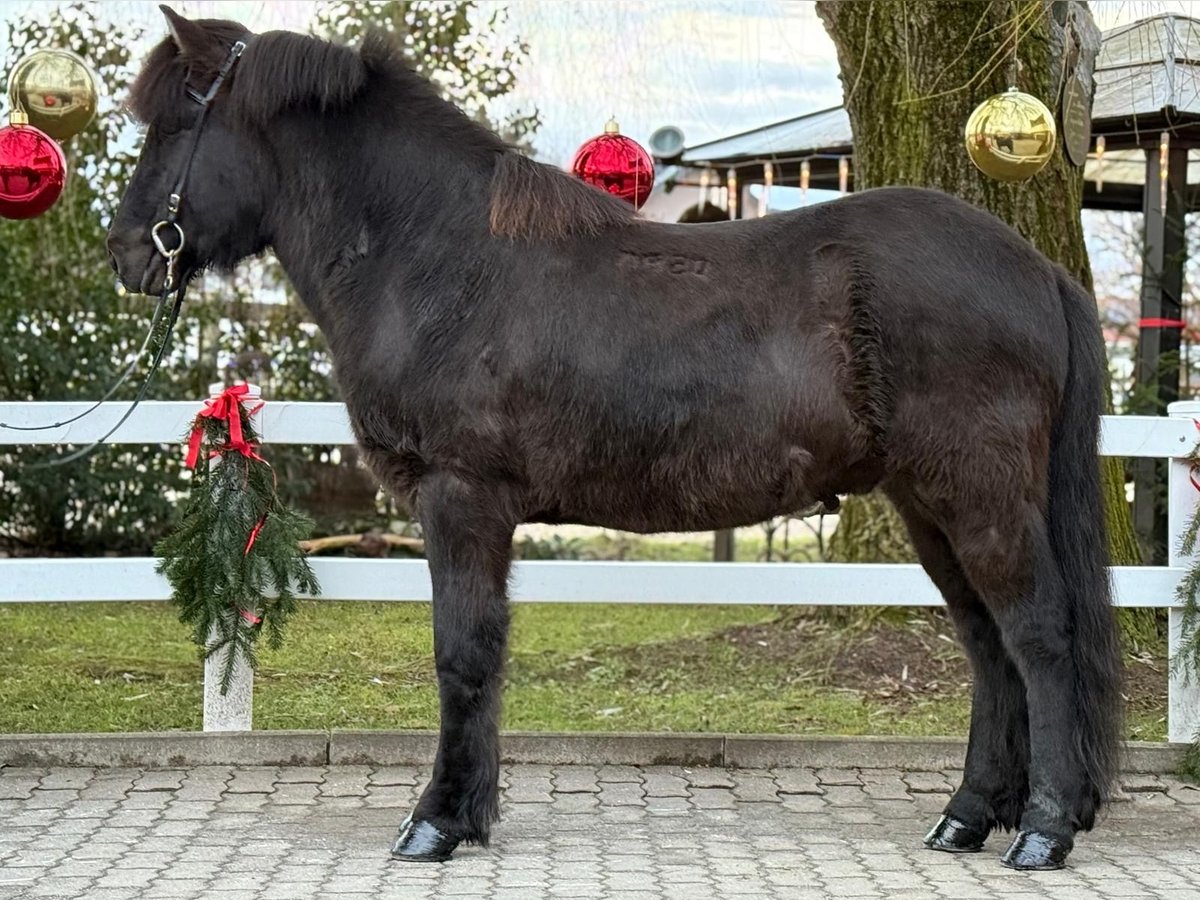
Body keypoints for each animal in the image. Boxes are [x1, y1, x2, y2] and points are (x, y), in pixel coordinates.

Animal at [110, 10, 1123, 873]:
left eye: (175, 123)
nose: (128, 254)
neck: (437, 258)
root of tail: (1036, 269)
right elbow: (484, 650)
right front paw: (468, 813)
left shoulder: (460, 496)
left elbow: (461, 651)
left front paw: (434, 822)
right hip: (926, 504)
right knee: (986, 645)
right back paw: (967, 816)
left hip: (978, 495)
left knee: (1037, 634)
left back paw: (1042, 831)